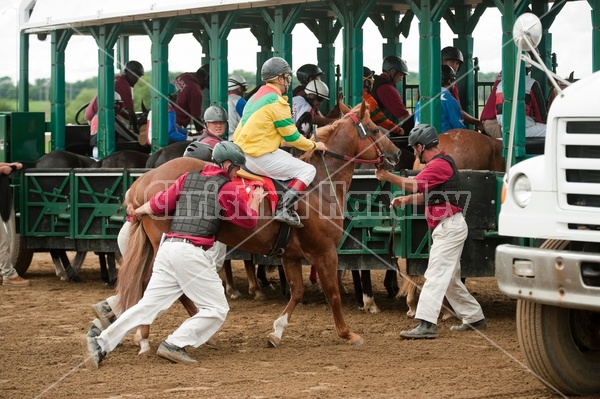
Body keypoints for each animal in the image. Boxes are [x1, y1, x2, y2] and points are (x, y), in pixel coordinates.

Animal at [115, 101, 400, 348]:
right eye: (375, 129)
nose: (396, 153)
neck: (320, 185)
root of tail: (142, 182)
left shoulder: (290, 255)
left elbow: (297, 292)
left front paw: (277, 332)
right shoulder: (325, 252)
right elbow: (333, 293)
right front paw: (347, 333)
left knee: (149, 284)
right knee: (157, 285)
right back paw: (152, 335)